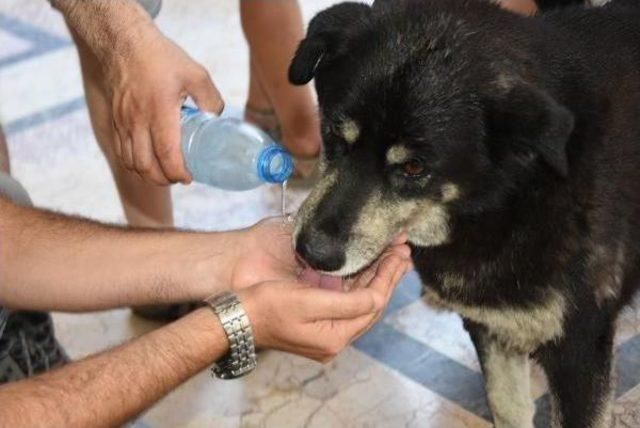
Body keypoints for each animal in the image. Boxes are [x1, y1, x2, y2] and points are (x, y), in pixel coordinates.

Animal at [288, 0, 640, 426]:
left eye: (414, 168)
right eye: (333, 134)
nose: (311, 253)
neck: (511, 196)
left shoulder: (580, 349)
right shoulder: (491, 327)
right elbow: (507, 407)